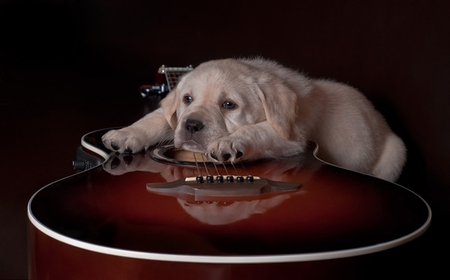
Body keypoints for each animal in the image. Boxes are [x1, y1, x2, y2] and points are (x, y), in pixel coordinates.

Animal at [103, 58, 408, 183]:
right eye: (187, 99)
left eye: (229, 105)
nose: (192, 126)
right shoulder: (176, 116)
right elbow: (159, 118)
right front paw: (125, 134)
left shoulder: (291, 137)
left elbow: (256, 131)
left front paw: (230, 142)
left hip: (396, 154)